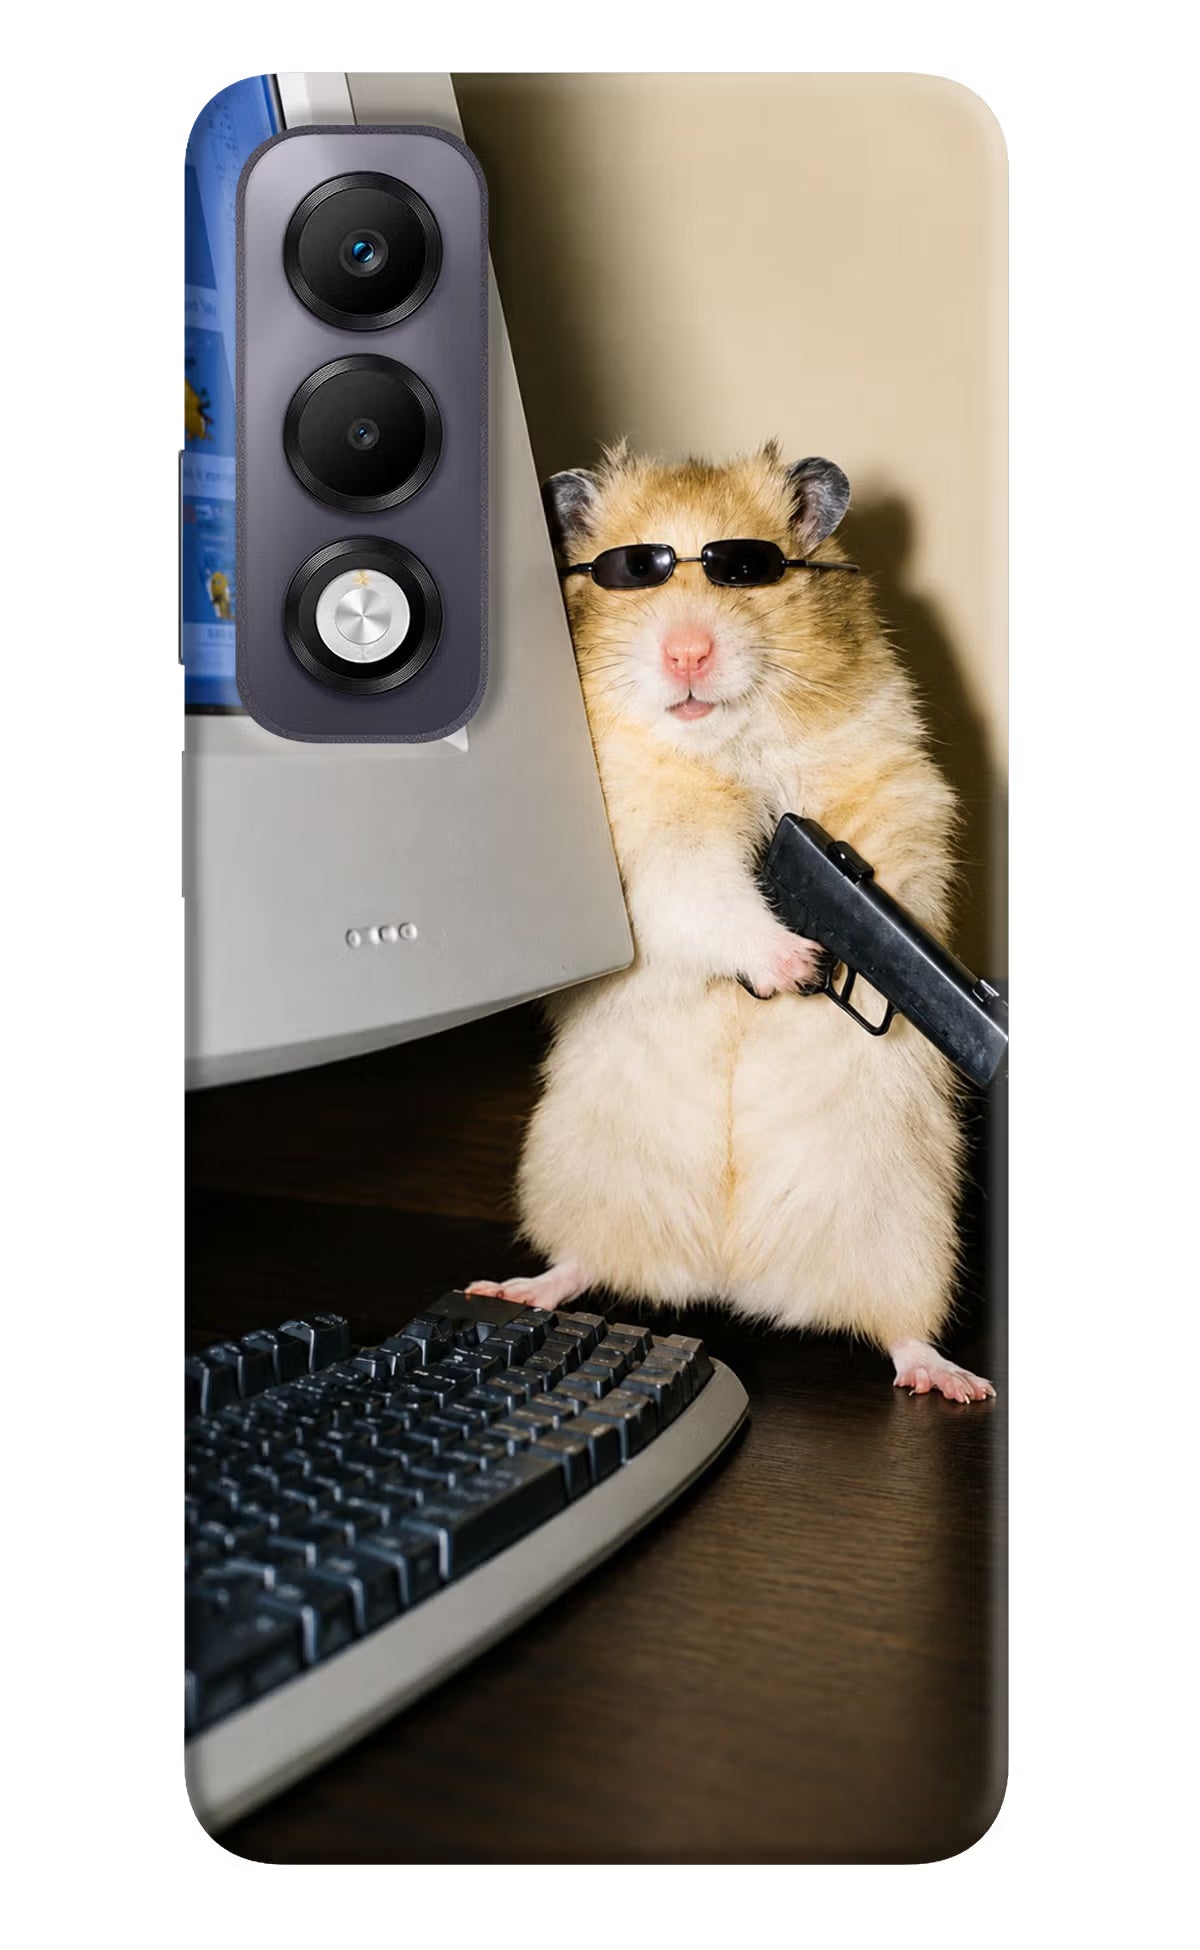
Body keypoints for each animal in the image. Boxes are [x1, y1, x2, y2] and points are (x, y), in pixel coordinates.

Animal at [468, 442, 993, 1402]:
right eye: (633, 572)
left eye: (746, 570)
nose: (686, 653)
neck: (724, 746)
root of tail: (730, 1277)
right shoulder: (647, 853)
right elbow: (707, 895)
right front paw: (796, 964)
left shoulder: (896, 789)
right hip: (578, 1176)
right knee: (582, 1263)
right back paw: (514, 1288)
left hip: (908, 1229)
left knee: (900, 1329)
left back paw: (954, 1381)